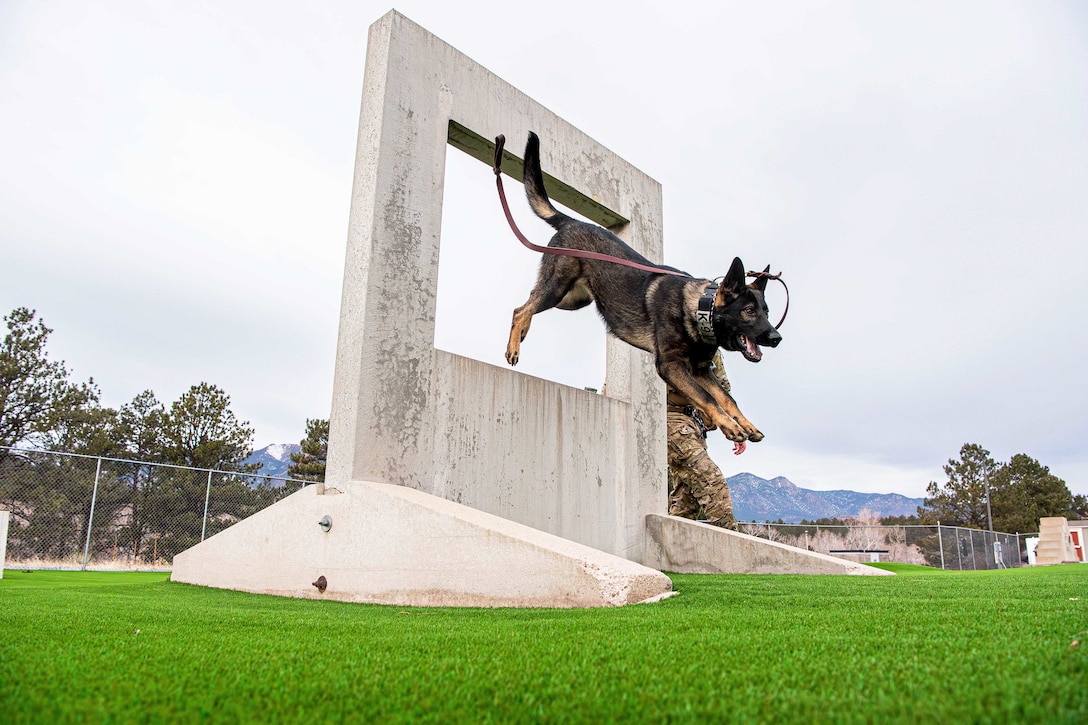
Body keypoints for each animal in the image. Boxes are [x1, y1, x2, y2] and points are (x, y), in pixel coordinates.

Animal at [504, 132, 779, 444]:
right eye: (748, 311)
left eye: (767, 311)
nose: (777, 337)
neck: (699, 309)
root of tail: (573, 222)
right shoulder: (671, 366)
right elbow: (707, 397)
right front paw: (729, 426)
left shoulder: (701, 371)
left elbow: (727, 398)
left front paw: (746, 424)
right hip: (558, 287)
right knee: (522, 308)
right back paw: (513, 347)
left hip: (573, 299)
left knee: (526, 303)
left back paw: (521, 333)